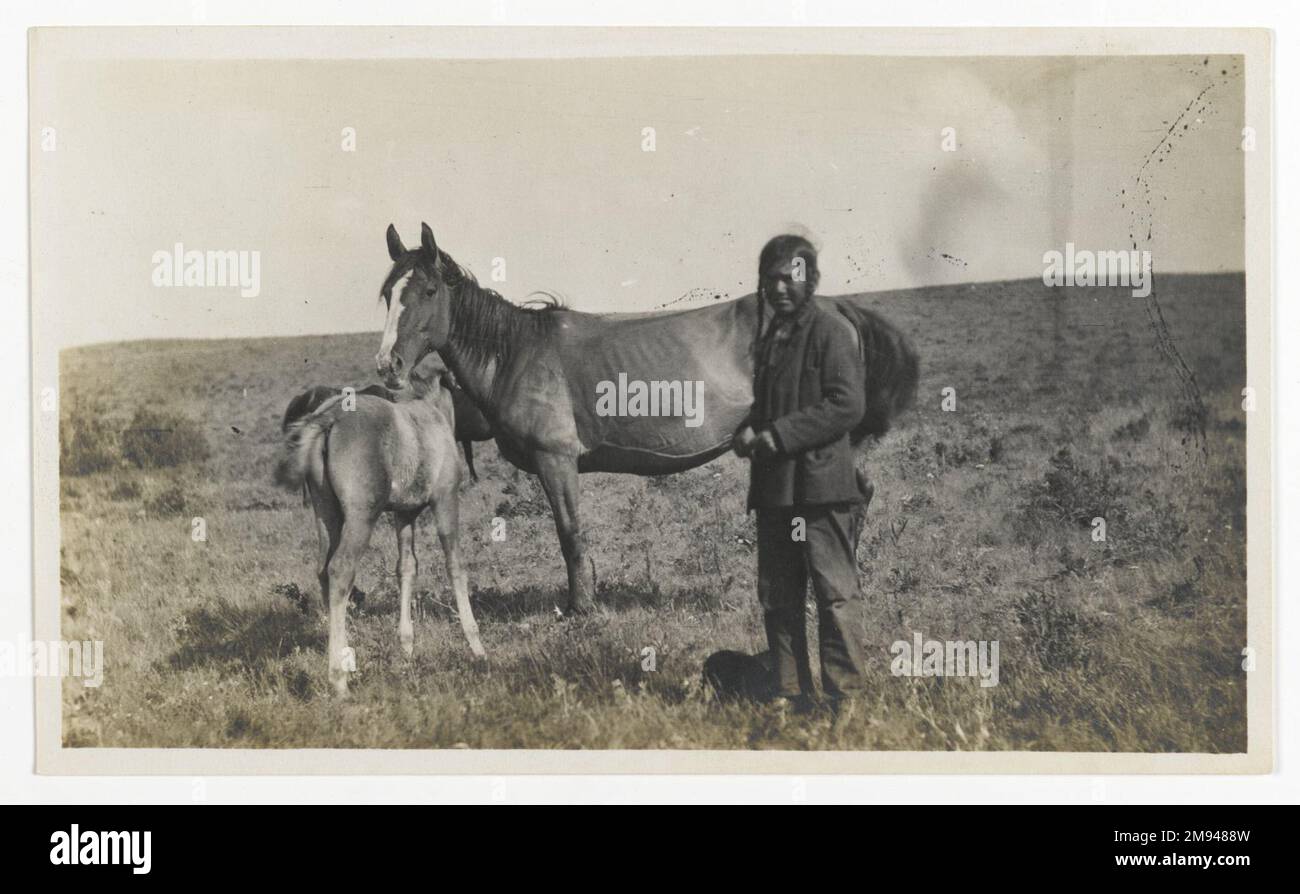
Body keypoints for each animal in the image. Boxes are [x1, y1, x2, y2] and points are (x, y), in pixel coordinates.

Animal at [276, 366, 486, 696]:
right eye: (464, 387)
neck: (432, 414)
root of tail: (330, 417)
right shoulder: (446, 499)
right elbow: (455, 565)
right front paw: (476, 645)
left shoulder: (403, 515)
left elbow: (407, 568)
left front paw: (407, 647)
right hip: (362, 516)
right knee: (340, 570)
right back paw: (339, 679)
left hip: (325, 512)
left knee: (323, 571)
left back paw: (345, 656)